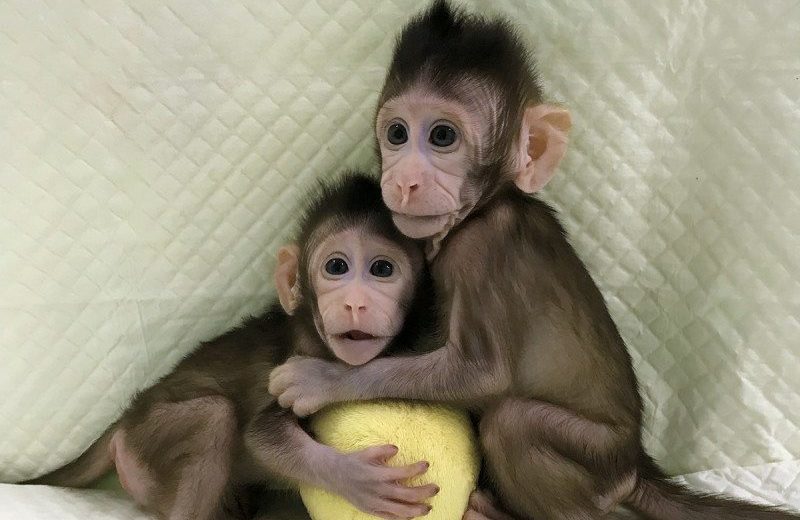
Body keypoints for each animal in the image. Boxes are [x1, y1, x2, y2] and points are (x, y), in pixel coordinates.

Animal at [25, 172, 440, 520]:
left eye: (382, 269)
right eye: (336, 267)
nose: (355, 303)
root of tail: (128, 417)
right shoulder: (296, 358)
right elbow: (263, 436)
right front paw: (355, 478)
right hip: (149, 437)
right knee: (214, 417)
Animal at [268, 2, 800, 520]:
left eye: (441, 136)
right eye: (397, 133)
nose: (404, 181)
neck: (488, 204)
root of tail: (634, 466)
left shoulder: (480, 249)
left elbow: (481, 373)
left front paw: (322, 379)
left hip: (595, 460)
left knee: (513, 422)